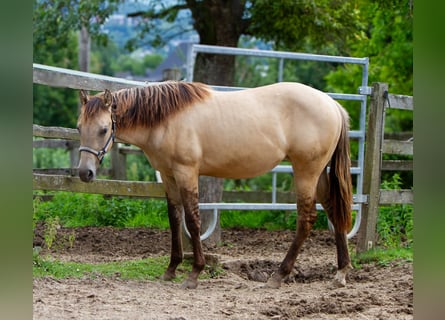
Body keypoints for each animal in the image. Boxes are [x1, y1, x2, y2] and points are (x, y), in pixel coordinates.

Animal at [77, 80, 354, 290]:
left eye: (104, 129)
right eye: (79, 127)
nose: (84, 173)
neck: (166, 119)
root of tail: (332, 104)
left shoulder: (186, 172)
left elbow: (192, 220)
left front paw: (194, 273)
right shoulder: (168, 175)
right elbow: (174, 219)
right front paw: (171, 269)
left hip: (306, 172)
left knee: (306, 219)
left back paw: (279, 275)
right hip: (318, 174)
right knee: (333, 210)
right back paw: (340, 272)